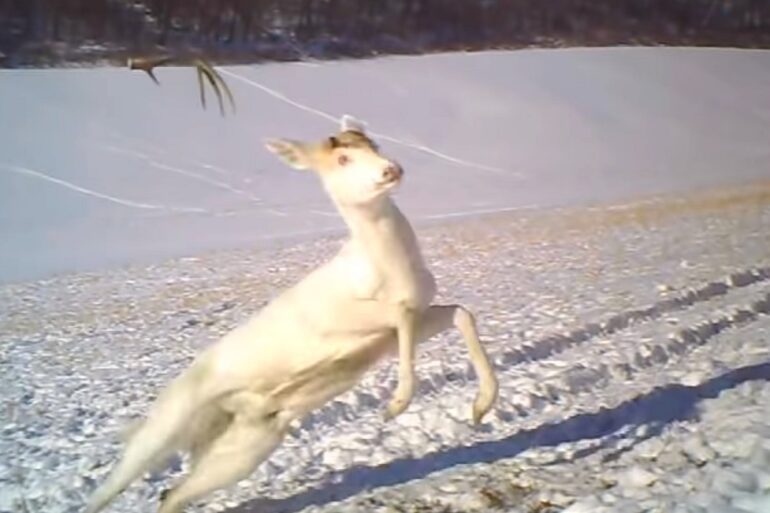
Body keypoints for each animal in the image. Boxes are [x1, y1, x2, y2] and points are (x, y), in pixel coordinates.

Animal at [85, 115, 499, 513]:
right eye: (342, 159)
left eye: (374, 144)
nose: (390, 170)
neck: (391, 268)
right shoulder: (348, 323)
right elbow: (402, 317)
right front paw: (393, 408)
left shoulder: (405, 323)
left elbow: (460, 314)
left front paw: (480, 409)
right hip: (163, 432)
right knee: (108, 490)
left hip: (246, 447)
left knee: (172, 494)